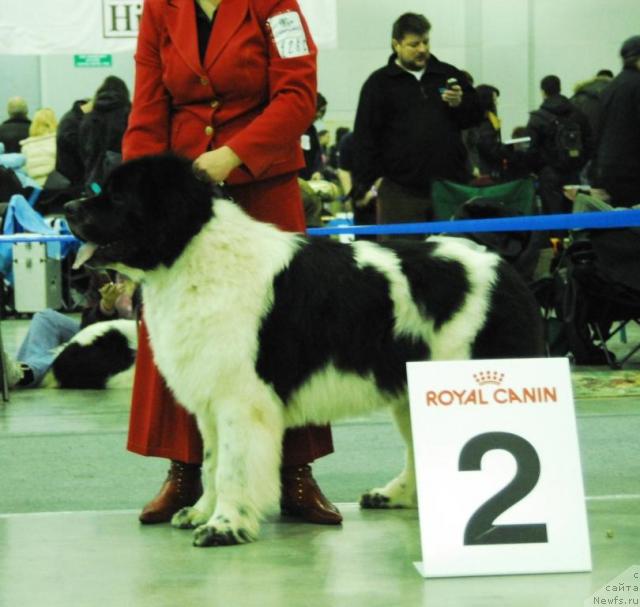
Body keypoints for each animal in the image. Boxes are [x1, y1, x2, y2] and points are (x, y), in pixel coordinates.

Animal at [65, 154, 544, 548]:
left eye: (118, 195)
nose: (68, 209)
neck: (190, 253)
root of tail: (501, 264)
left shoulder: (240, 400)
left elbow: (232, 465)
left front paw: (224, 526)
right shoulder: (211, 398)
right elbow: (210, 462)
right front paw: (201, 512)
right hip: (414, 391)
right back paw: (394, 495)